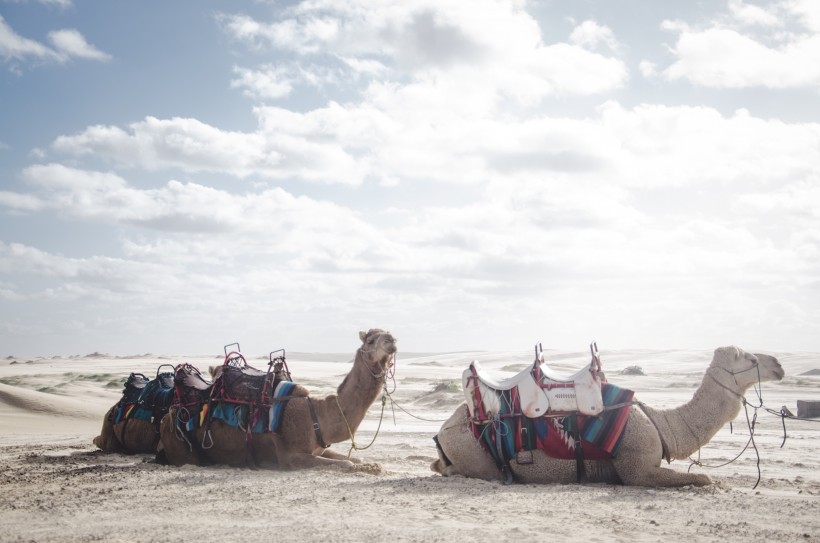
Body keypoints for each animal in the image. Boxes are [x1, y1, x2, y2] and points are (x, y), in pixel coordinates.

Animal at [159, 330, 398, 470]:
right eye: (370, 340)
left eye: (389, 334)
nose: (392, 341)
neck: (317, 414)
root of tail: (166, 417)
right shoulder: (290, 456)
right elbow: (348, 463)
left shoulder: (319, 448)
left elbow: (356, 459)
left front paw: (372, 465)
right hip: (182, 450)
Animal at [430, 348, 780, 488]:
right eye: (750, 358)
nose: (778, 365)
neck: (661, 423)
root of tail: (443, 428)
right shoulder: (637, 469)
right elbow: (705, 478)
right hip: (474, 453)